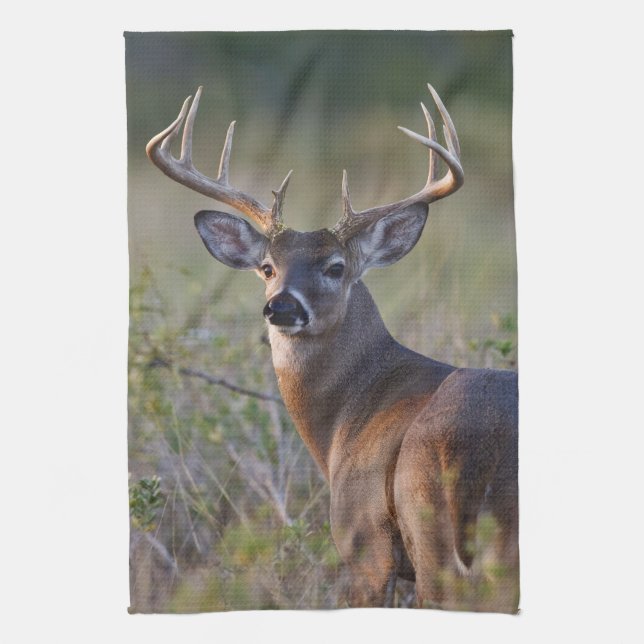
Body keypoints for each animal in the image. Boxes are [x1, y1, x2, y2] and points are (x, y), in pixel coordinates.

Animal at [146, 84, 519, 612]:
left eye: (336, 267)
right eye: (266, 266)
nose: (281, 306)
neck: (345, 419)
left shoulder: (365, 544)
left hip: (432, 537)